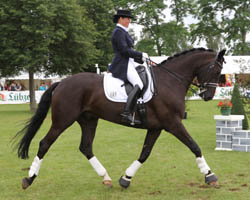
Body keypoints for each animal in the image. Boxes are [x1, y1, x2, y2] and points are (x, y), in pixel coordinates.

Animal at [16, 47, 227, 190]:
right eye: (217, 71)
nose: (208, 96)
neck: (170, 81)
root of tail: (61, 83)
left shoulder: (156, 127)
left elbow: (145, 153)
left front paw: (125, 179)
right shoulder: (173, 123)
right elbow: (194, 146)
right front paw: (210, 176)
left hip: (88, 120)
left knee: (86, 147)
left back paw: (106, 177)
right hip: (62, 121)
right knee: (44, 144)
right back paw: (29, 179)